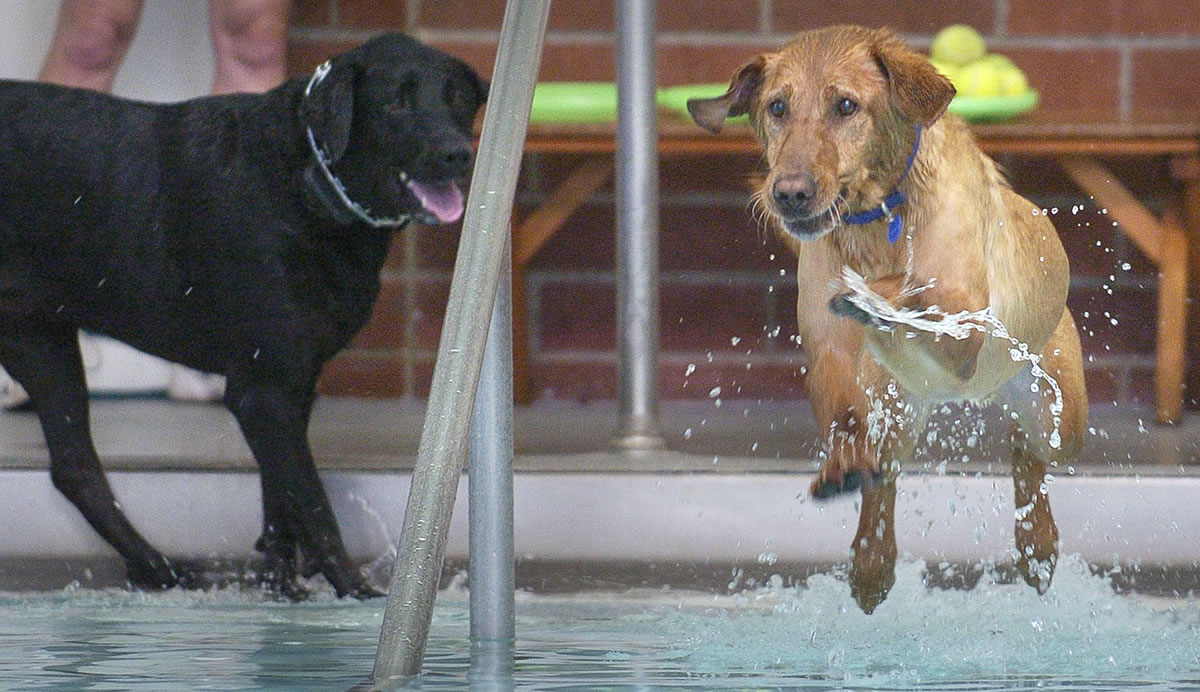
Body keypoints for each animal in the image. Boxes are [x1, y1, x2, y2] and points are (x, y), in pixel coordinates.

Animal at [1, 33, 487, 599]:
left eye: (457, 99)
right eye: (397, 102)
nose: (458, 153)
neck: (307, 180)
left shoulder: (293, 385)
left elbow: (279, 493)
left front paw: (280, 582)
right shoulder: (264, 389)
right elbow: (313, 502)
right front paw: (354, 590)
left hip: (42, 341)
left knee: (75, 469)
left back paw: (157, 567)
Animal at [686, 24, 1089, 611]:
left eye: (846, 105)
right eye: (777, 107)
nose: (788, 194)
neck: (875, 220)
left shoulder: (965, 326)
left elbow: (916, 289)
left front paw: (873, 295)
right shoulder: (829, 349)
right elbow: (842, 408)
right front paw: (844, 464)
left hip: (1057, 418)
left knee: (1027, 455)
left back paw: (1037, 544)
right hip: (896, 406)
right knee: (889, 474)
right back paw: (871, 561)